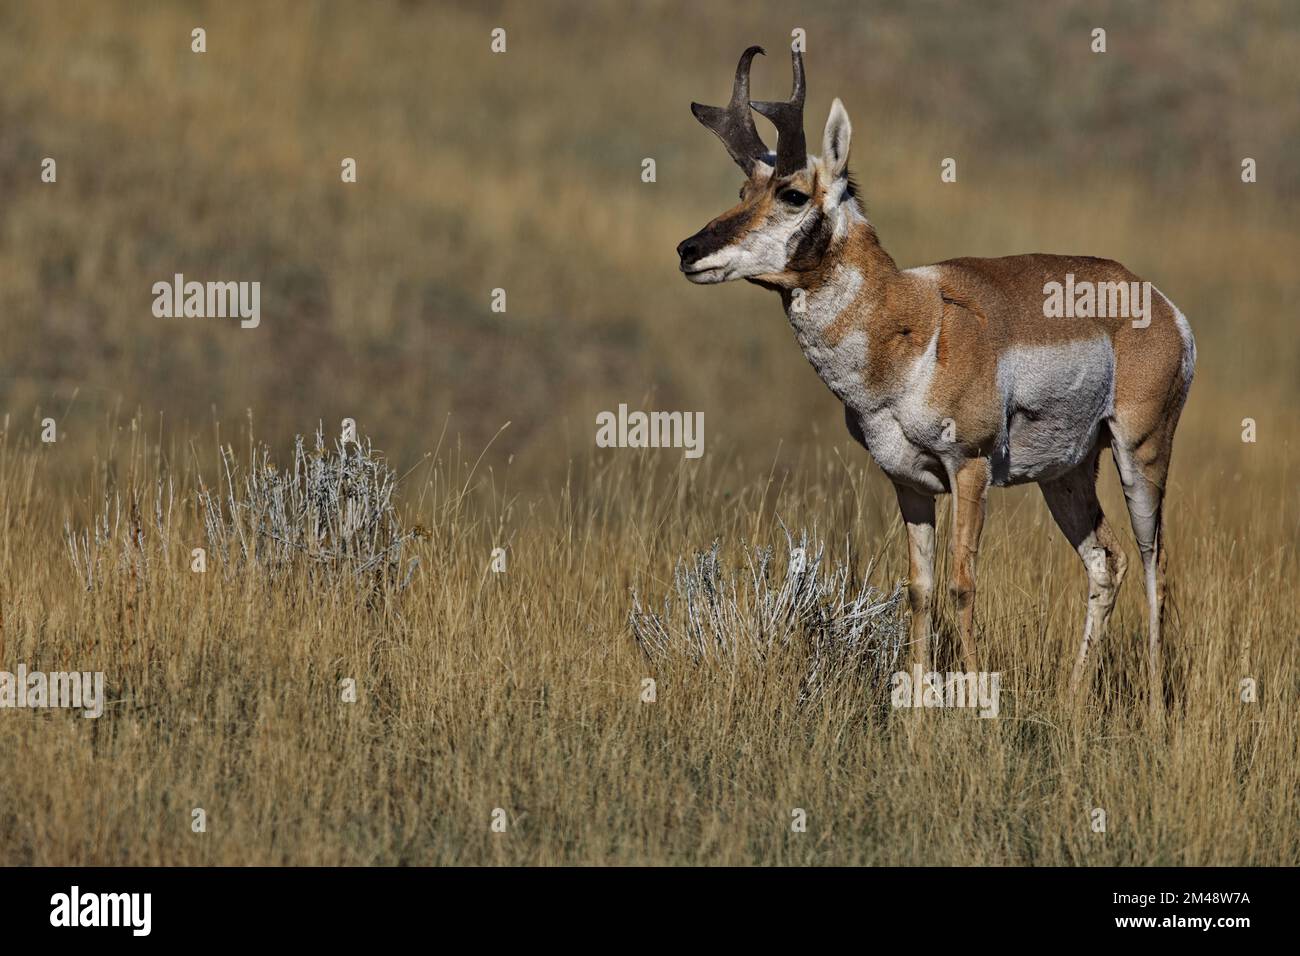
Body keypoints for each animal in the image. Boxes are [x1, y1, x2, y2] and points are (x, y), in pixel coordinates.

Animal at [681, 50, 1196, 712]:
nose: (688, 250)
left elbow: (962, 584)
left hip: (1141, 453)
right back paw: (1074, 700)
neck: (912, 318)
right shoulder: (909, 483)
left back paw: (1155, 708)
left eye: (792, 193)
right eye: (743, 189)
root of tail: (1156, 301)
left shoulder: (968, 468)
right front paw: (917, 713)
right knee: (1107, 562)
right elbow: (920, 591)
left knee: (1156, 563)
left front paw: (976, 704)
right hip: (1066, 474)